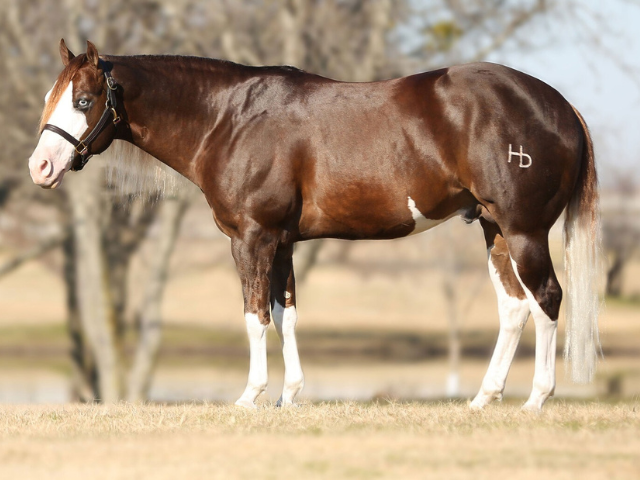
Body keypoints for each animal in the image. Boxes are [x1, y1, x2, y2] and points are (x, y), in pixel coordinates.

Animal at [28, 39, 600, 410]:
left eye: (84, 101)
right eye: (50, 100)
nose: (41, 167)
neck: (229, 118)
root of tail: (559, 104)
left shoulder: (252, 238)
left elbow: (255, 315)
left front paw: (250, 397)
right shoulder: (282, 243)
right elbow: (287, 315)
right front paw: (289, 396)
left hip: (524, 230)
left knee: (547, 298)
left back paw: (536, 400)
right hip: (493, 228)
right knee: (514, 307)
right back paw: (483, 398)